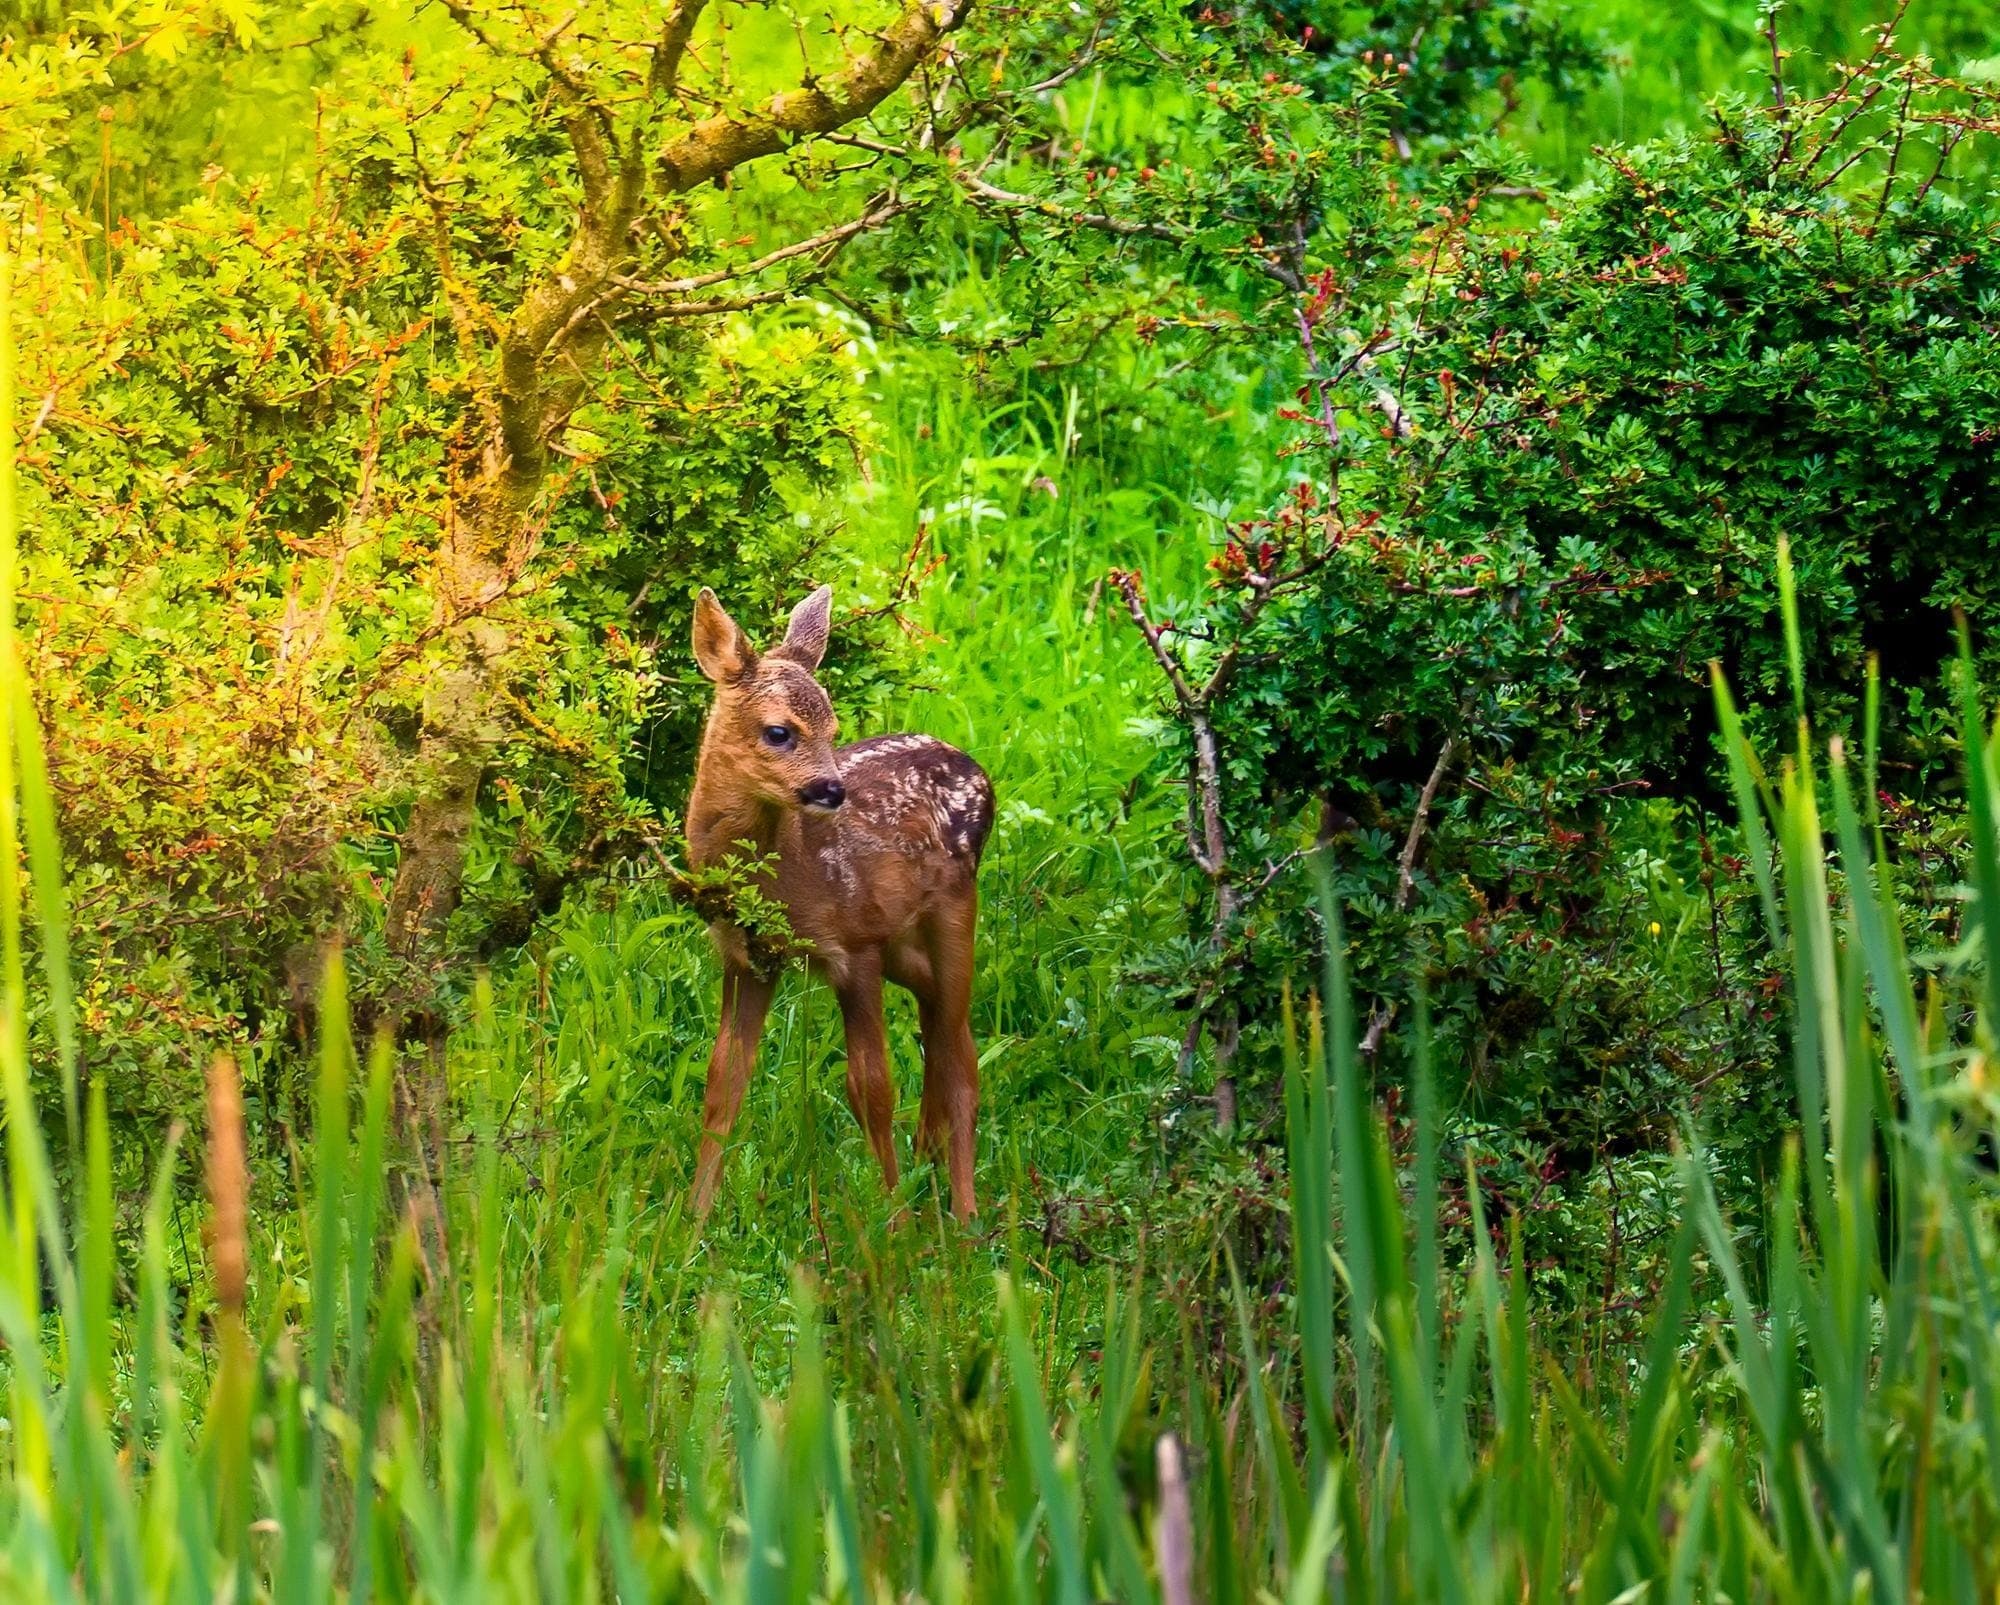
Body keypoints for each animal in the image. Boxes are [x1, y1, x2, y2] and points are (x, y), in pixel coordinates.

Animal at [684, 585, 994, 1222]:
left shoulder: (855, 946)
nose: (831, 790)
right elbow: (723, 1080)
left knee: (960, 1060)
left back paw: (965, 1215)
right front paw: (692, 1221)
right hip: (903, 942)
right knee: (946, 1027)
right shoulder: (747, 957)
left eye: (833, 725)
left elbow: (870, 1089)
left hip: (954, 907)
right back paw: (928, 1157)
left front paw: (893, 1221)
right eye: (780, 732)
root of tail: (982, 772)